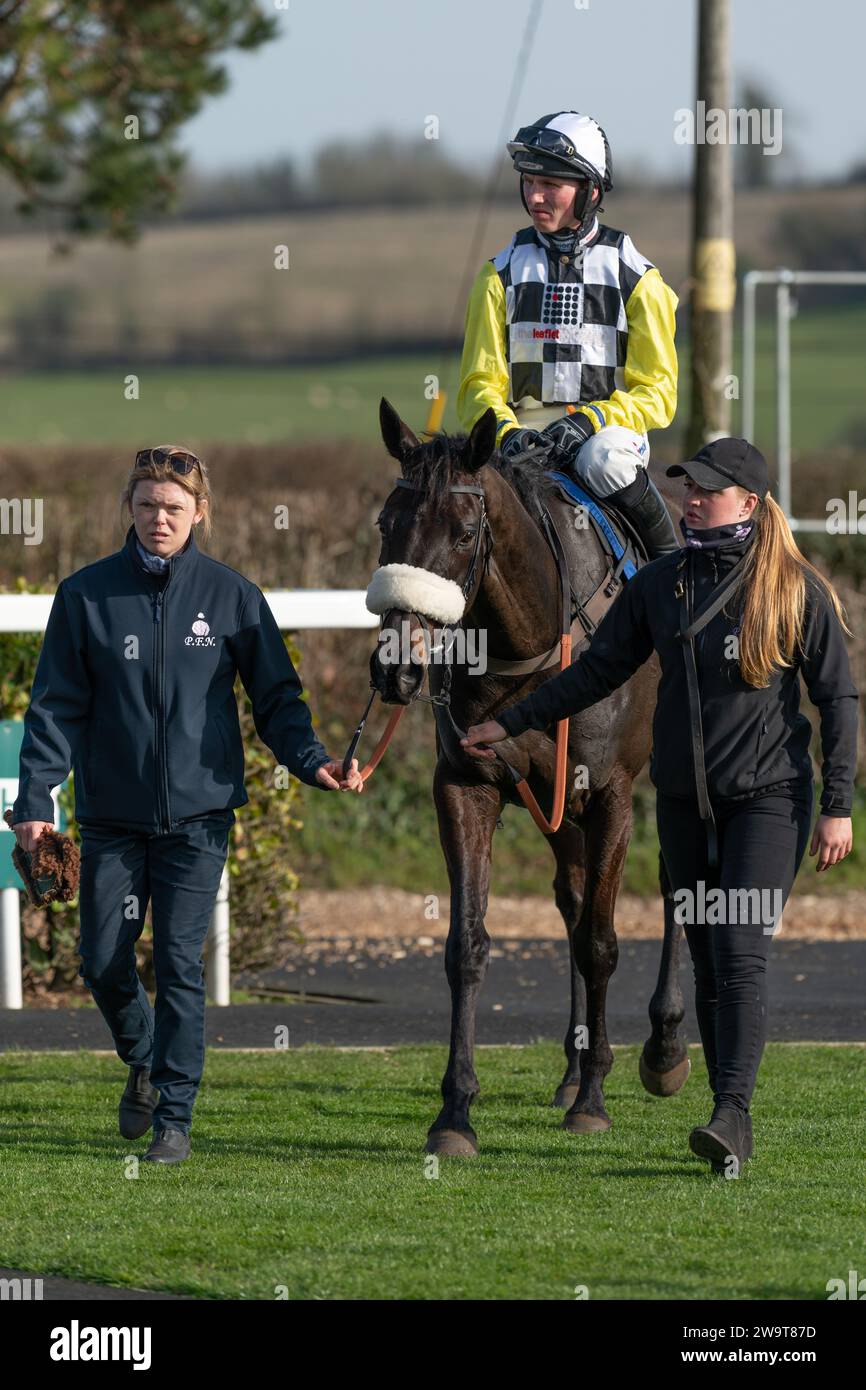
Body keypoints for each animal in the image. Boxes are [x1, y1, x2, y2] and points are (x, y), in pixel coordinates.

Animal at [366, 397, 692, 1156]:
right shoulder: (467, 785)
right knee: (571, 899)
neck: (534, 644)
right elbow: (469, 945)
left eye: (463, 534)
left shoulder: (611, 794)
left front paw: (596, 1101)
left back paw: (661, 1049)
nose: (396, 667)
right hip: (555, 801)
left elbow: (602, 942)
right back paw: (573, 1068)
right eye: (386, 523)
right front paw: (455, 1111)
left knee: (675, 886)